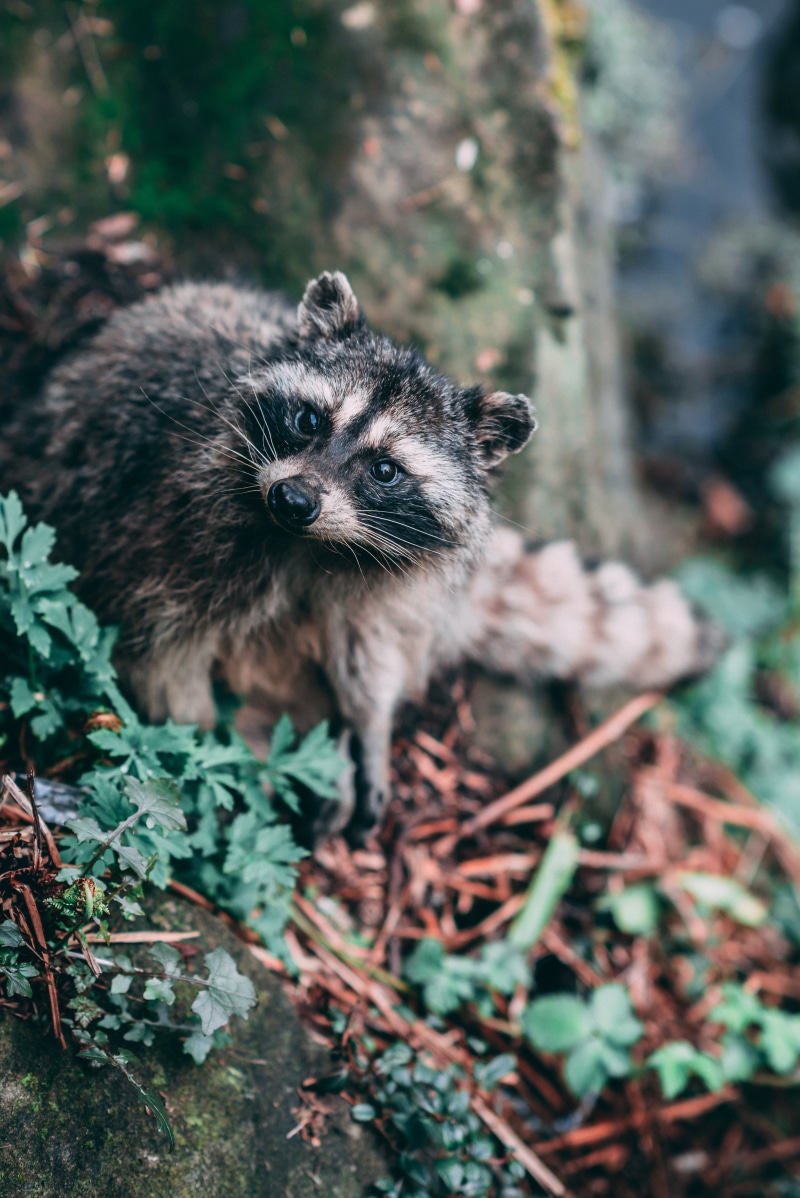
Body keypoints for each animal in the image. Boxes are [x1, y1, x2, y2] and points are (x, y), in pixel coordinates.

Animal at [0, 272, 720, 838]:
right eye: (308, 421)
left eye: (384, 469)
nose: (292, 498)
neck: (311, 545)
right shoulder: (173, 528)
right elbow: (161, 654)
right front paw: (217, 745)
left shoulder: (393, 583)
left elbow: (371, 655)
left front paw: (369, 726)